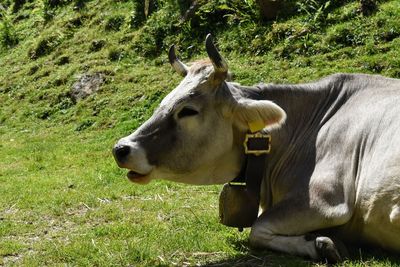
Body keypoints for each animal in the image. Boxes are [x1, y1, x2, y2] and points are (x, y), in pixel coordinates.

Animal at [112, 34, 400, 262]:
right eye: (163, 101)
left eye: (188, 111)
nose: (120, 148)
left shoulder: (326, 200)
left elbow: (258, 229)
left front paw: (321, 245)